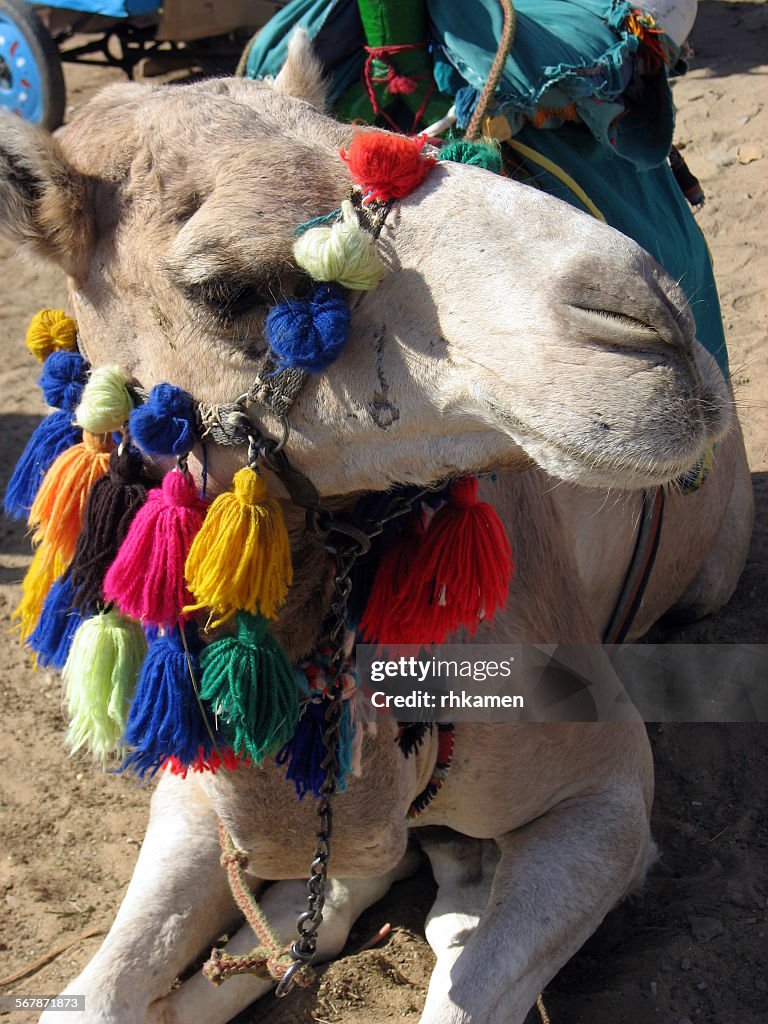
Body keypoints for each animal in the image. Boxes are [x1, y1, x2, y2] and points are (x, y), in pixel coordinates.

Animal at [0, 32, 753, 1024]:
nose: (653, 320)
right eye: (225, 288)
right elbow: (93, 995)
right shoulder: (196, 795)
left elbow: (467, 989)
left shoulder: (611, 790)